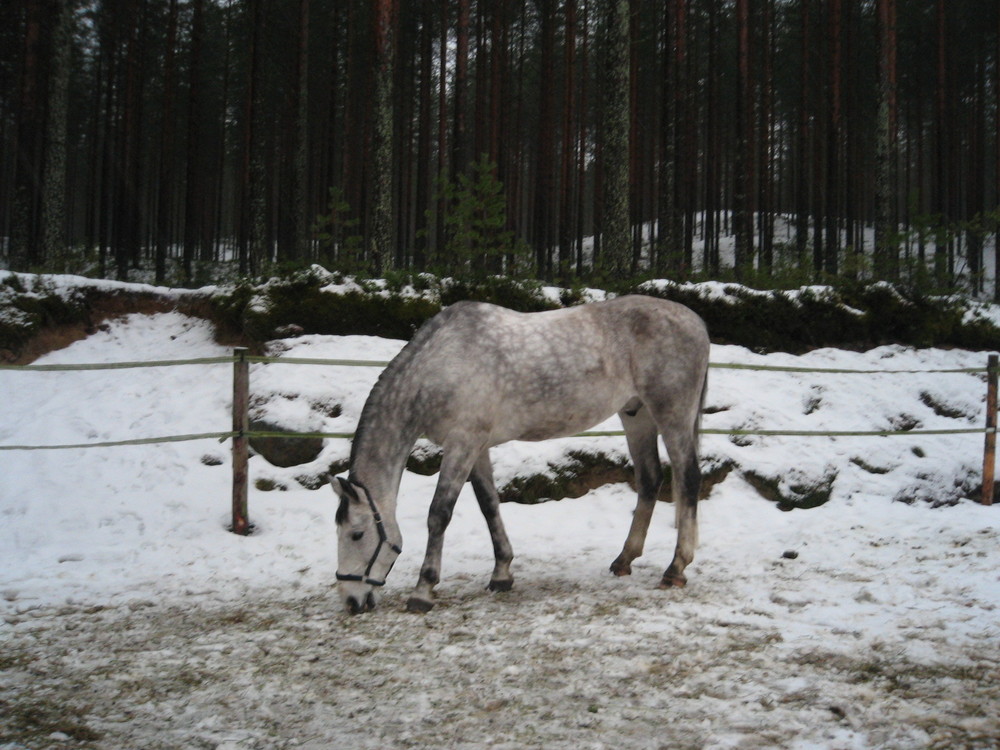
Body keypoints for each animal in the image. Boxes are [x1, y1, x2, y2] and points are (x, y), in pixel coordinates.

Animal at [334, 296, 712, 616]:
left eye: (356, 534)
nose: (352, 602)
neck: (442, 363)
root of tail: (695, 320)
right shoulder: (477, 447)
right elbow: (489, 505)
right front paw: (502, 574)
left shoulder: (462, 443)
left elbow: (439, 514)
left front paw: (423, 591)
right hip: (637, 416)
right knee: (650, 480)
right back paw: (624, 560)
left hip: (672, 416)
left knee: (688, 478)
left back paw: (675, 568)